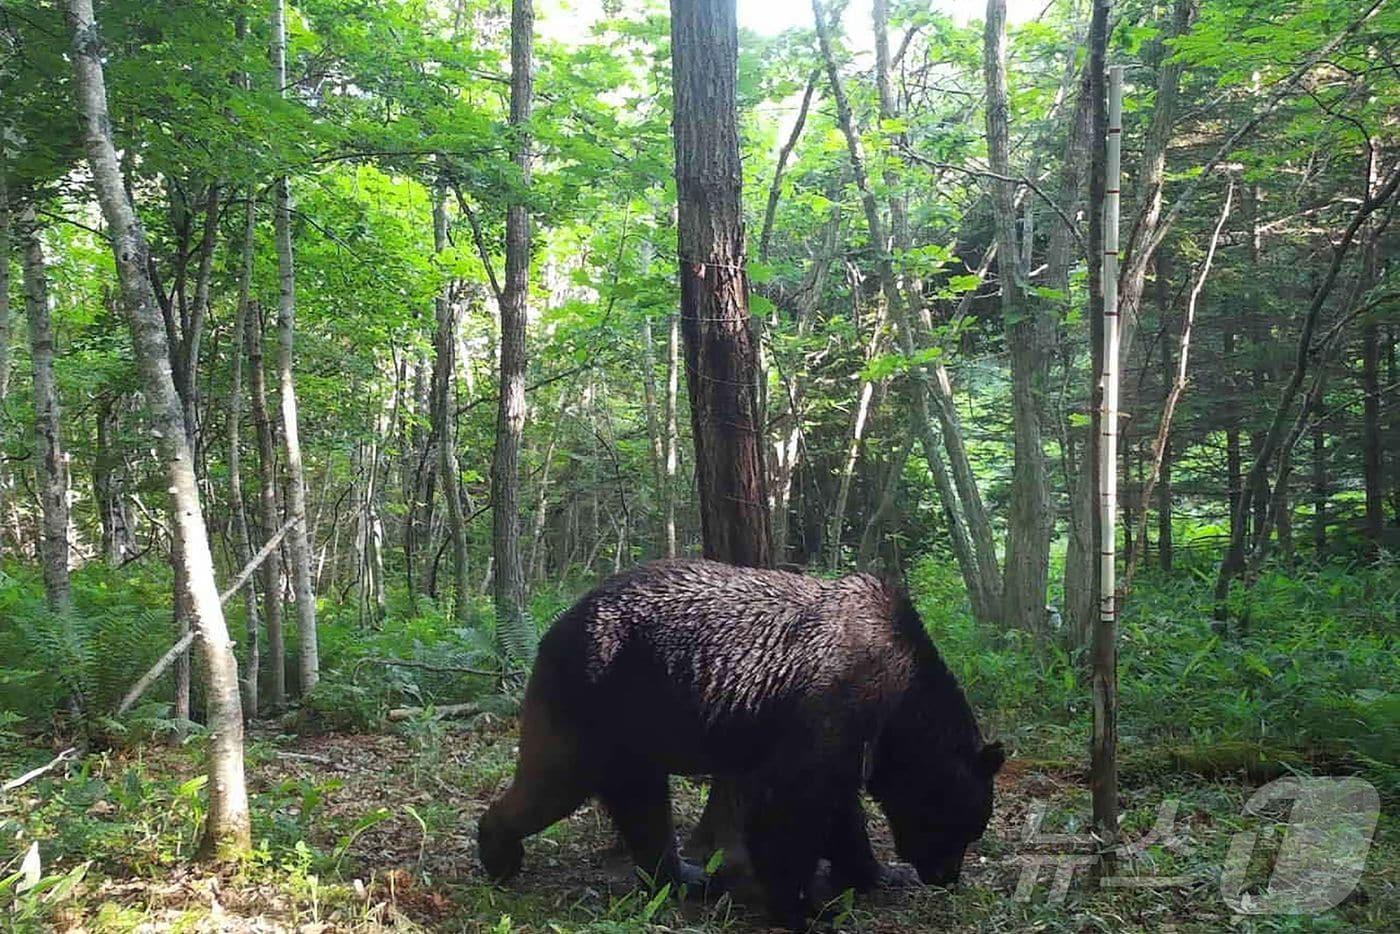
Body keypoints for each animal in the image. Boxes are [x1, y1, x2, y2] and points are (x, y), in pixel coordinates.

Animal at [476, 560, 1002, 924]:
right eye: (963, 828)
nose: (946, 877)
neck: (900, 701)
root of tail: (555, 627)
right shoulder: (834, 701)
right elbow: (791, 802)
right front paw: (804, 908)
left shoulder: (847, 740)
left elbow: (839, 808)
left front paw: (876, 873)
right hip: (597, 698)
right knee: (556, 781)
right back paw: (498, 851)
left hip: (633, 726)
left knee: (640, 803)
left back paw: (683, 876)